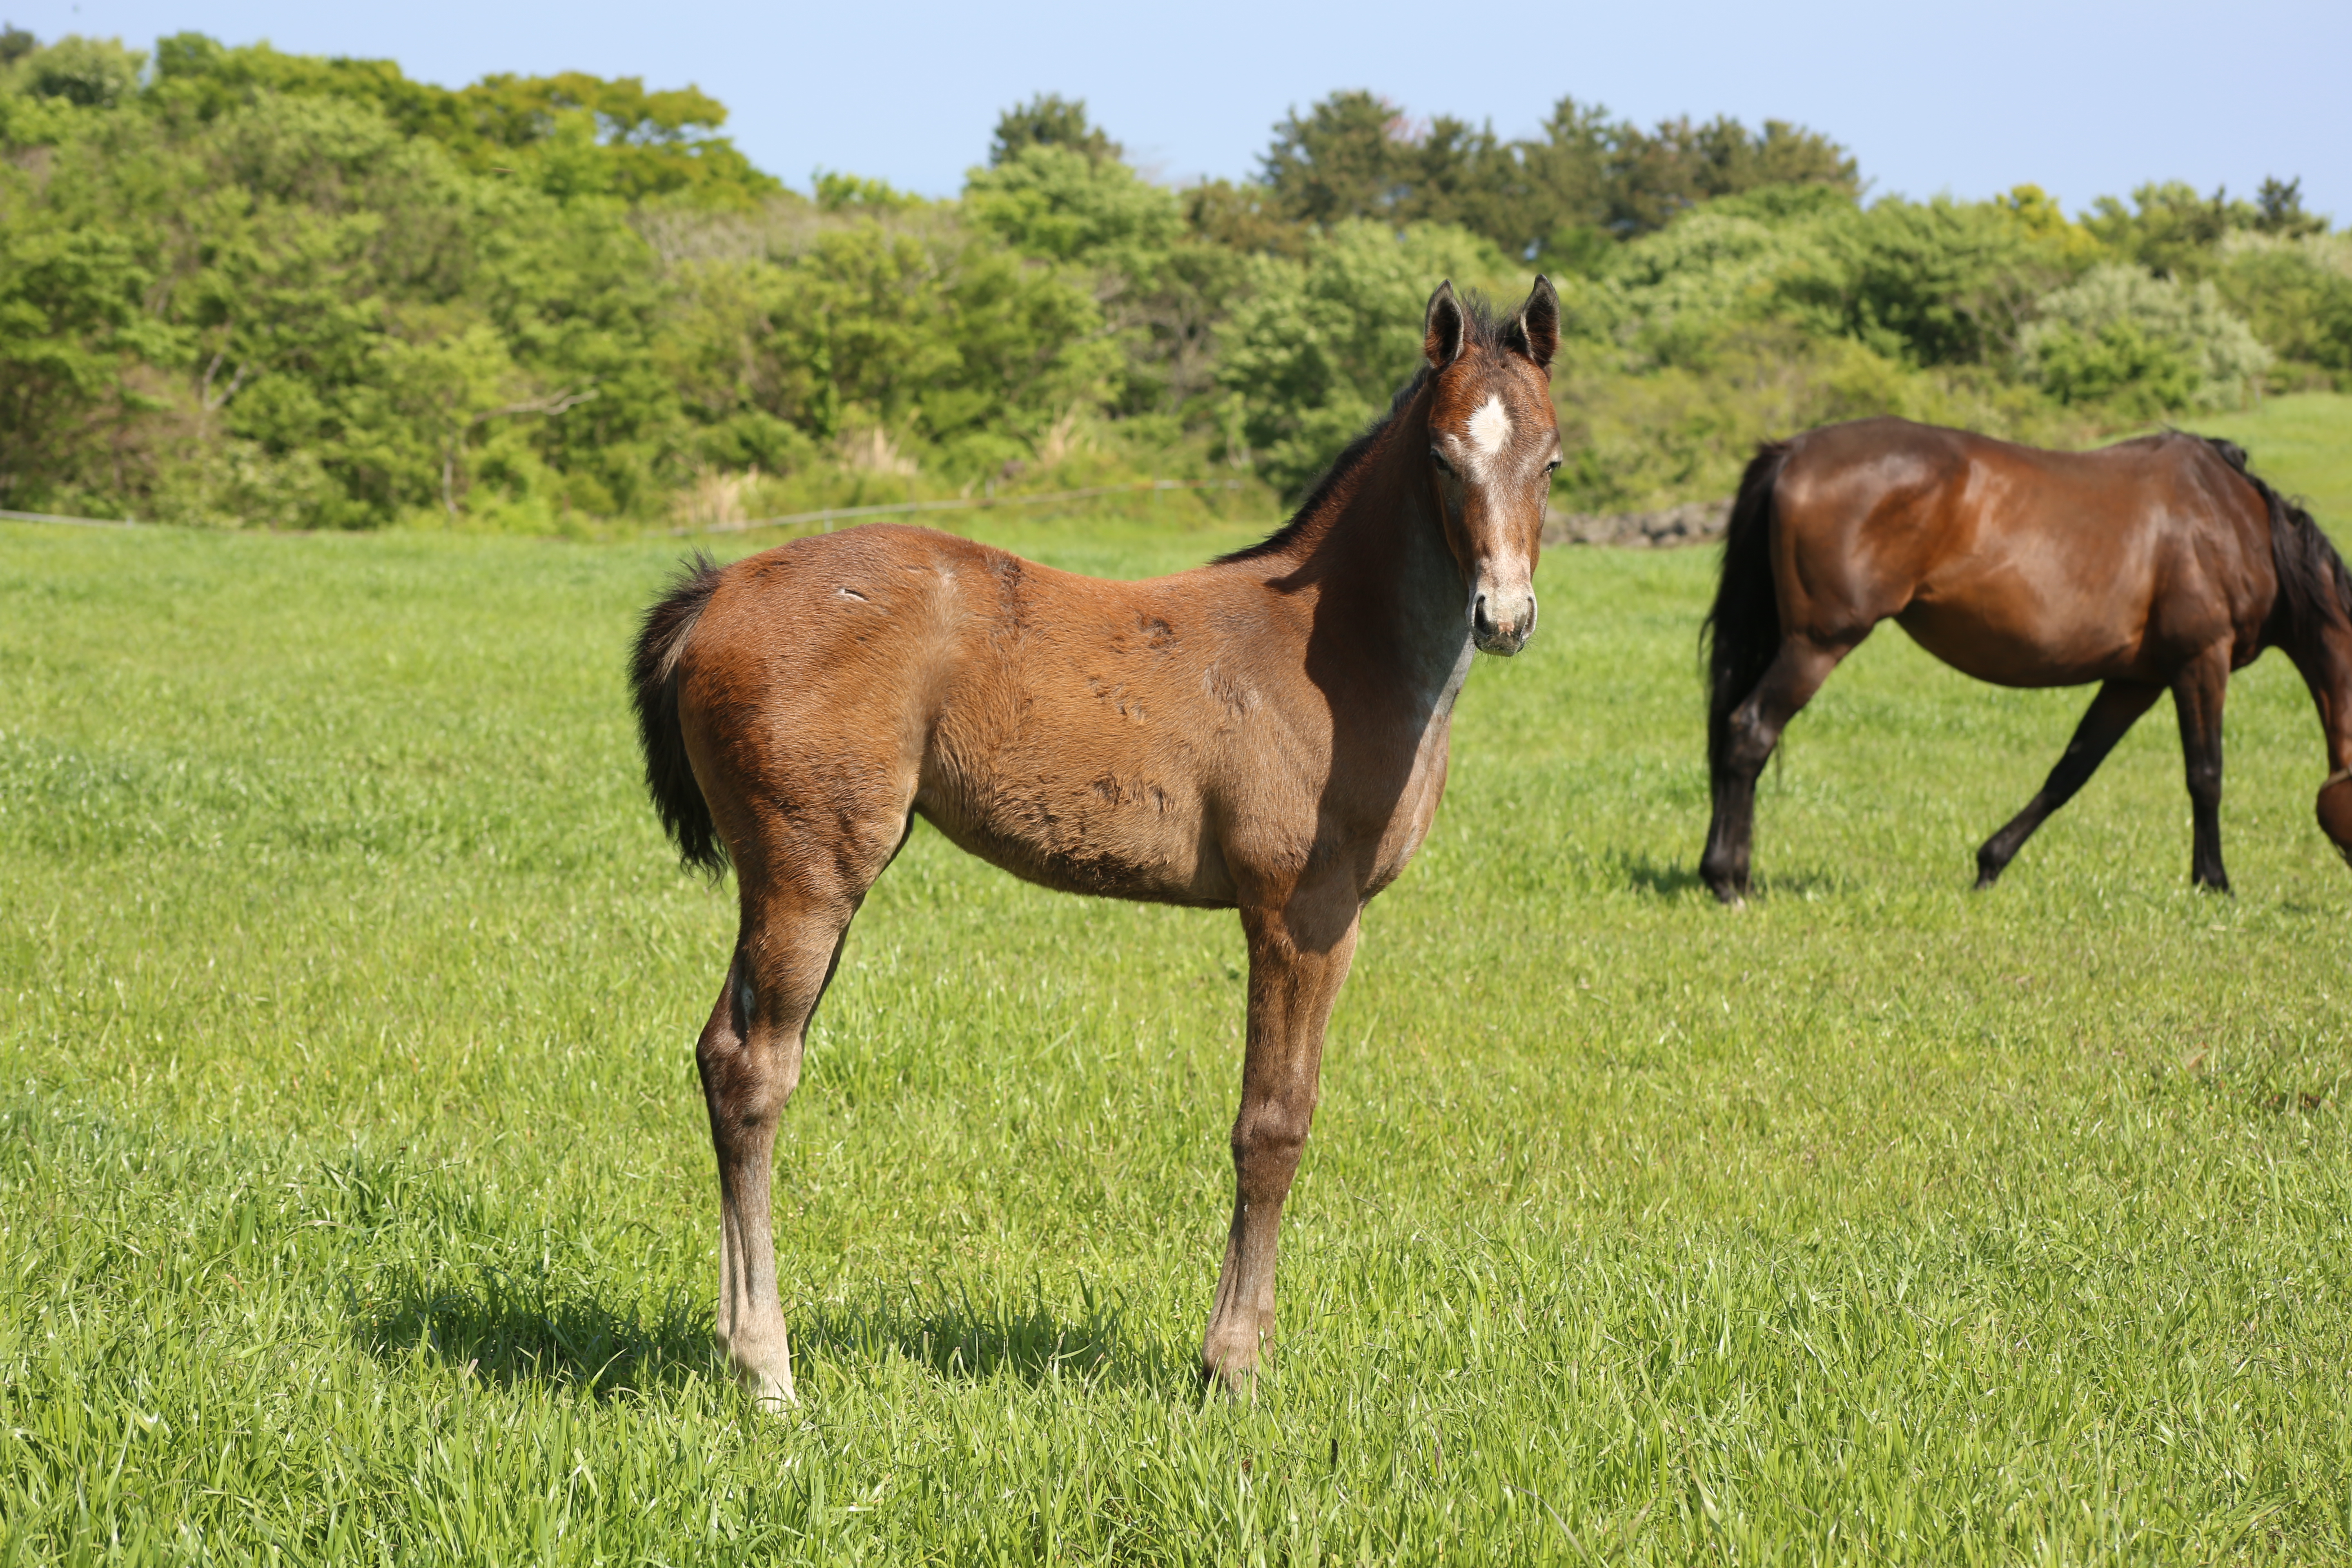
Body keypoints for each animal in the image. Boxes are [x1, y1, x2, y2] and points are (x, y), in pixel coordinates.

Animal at [635, 278, 1571, 1401]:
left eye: (1552, 459)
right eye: (1439, 455)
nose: (1503, 615)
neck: (1337, 654)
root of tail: (718, 589)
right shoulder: (1300, 912)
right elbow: (1273, 1123)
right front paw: (1231, 1367)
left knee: (724, 1053)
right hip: (809, 868)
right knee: (753, 1071)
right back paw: (769, 1371)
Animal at [1703, 414, 2352, 907]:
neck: (2235, 522)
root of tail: (1793, 451)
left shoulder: (2134, 680)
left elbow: (2070, 771)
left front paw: (1990, 863)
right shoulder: (2199, 662)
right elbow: (2206, 775)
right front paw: (2214, 882)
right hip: (1818, 644)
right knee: (1749, 731)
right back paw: (1728, 881)